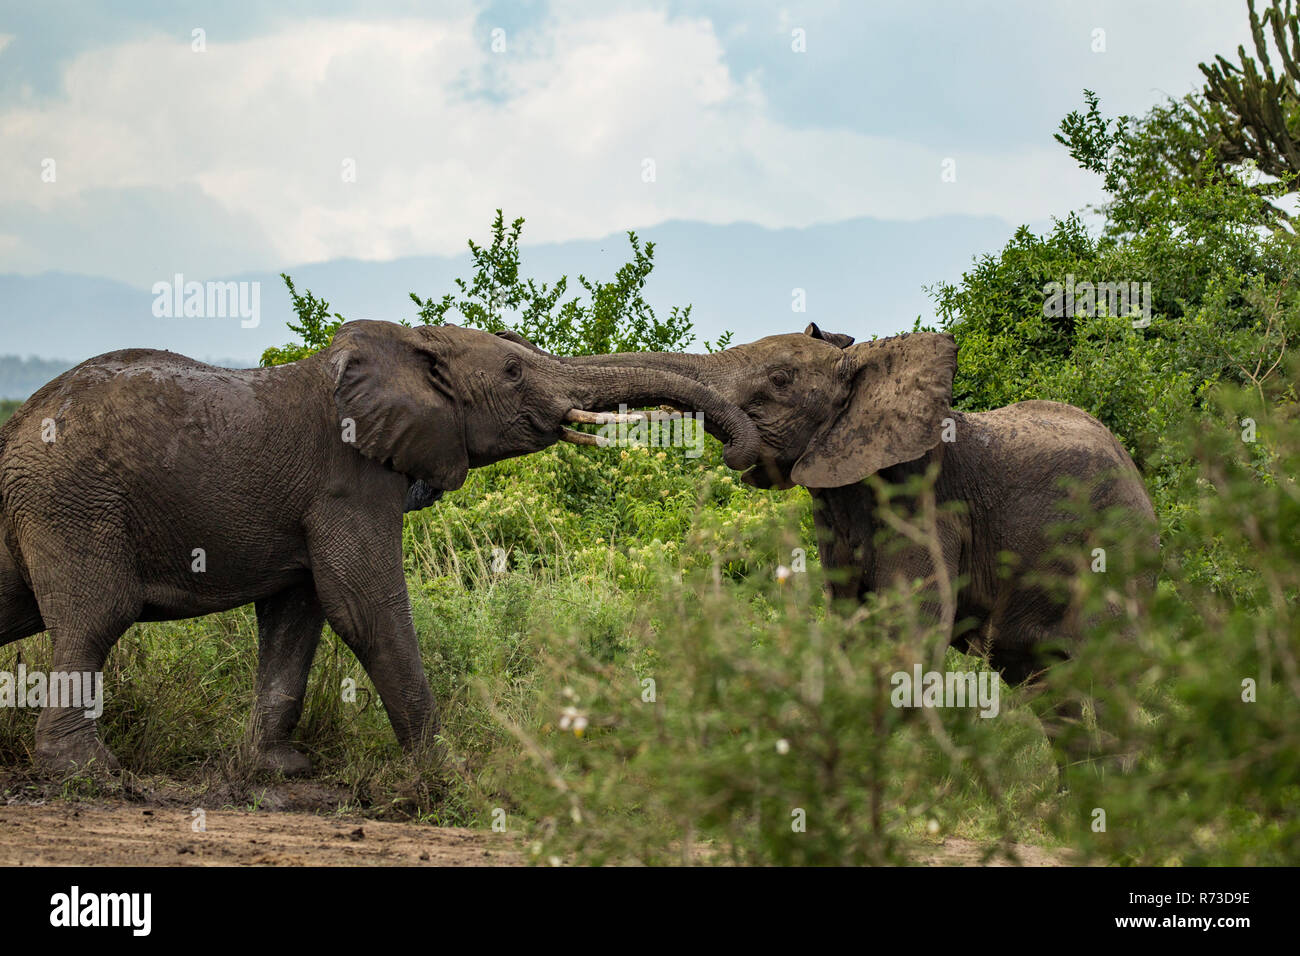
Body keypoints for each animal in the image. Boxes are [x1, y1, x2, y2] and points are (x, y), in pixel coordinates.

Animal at [0, 320, 759, 774]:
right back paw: (89, 775)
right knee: (96, 617)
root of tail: (18, 426)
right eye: (514, 372)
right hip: (76, 504)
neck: (411, 349)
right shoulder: (349, 479)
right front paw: (448, 776)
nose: (739, 459)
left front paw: (278, 772)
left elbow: (297, 617)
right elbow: (363, 608)